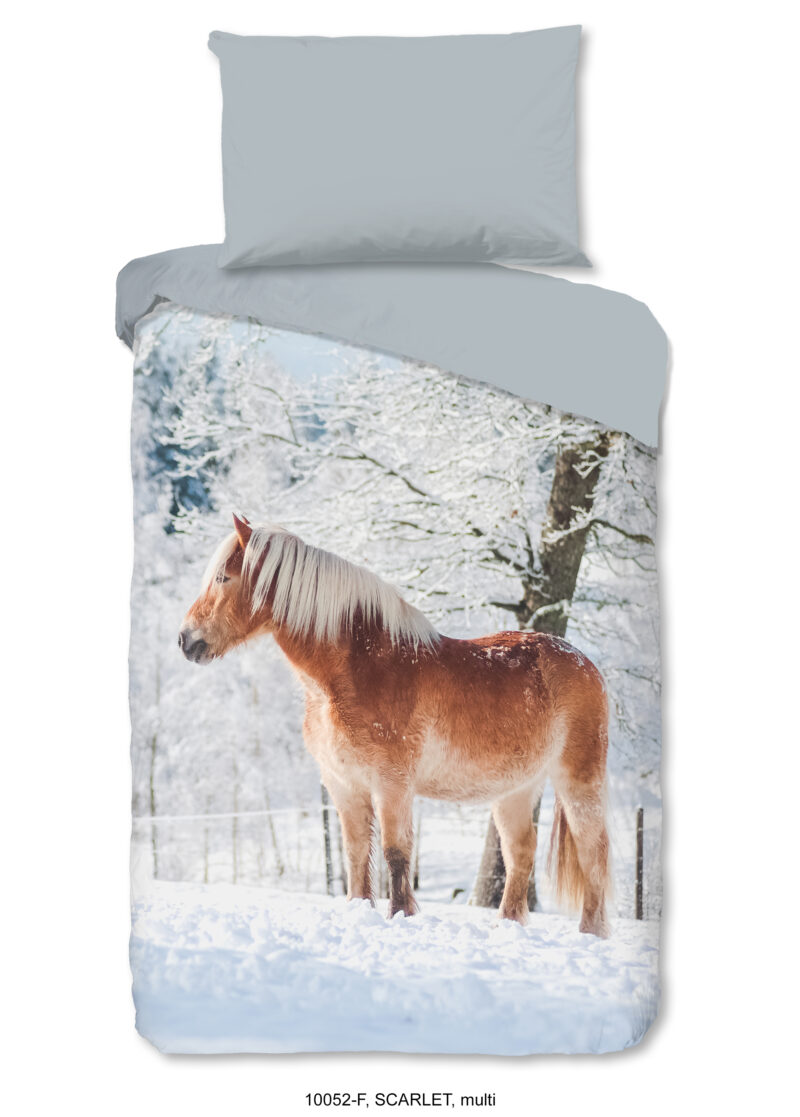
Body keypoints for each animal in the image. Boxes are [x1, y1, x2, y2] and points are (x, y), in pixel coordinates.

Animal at [179, 514, 611, 936]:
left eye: (223, 577)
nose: (185, 640)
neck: (356, 669)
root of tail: (586, 664)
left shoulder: (392, 783)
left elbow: (395, 853)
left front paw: (401, 916)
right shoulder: (344, 785)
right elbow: (356, 852)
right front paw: (359, 909)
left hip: (578, 783)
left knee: (594, 853)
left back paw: (590, 933)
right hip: (516, 790)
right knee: (521, 853)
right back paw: (507, 927)